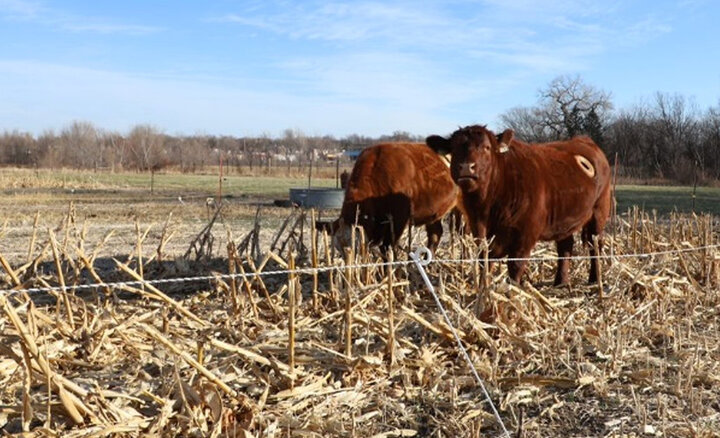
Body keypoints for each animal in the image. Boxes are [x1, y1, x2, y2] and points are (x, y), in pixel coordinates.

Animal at [424, 125, 612, 286]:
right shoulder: (479, 231)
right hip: (565, 218)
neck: (487, 206)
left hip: (599, 211)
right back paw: (561, 282)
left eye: (486, 147)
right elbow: (484, 261)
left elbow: (515, 265)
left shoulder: (525, 233)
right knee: (565, 246)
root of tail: (584, 140)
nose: (466, 167)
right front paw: (485, 287)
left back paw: (594, 279)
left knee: (595, 245)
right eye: (454, 148)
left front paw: (512, 291)